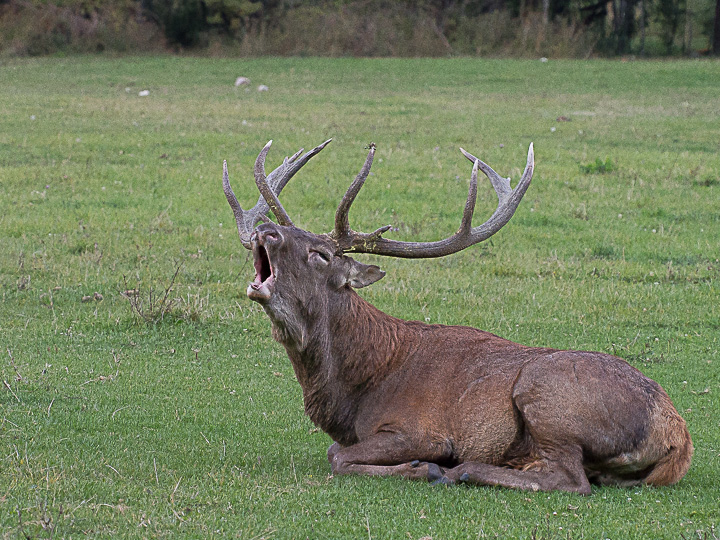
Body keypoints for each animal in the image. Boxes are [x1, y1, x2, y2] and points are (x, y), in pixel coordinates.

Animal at [221, 138, 692, 494]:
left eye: (319, 254)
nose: (266, 230)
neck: (356, 390)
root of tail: (676, 436)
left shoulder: (419, 429)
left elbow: (336, 455)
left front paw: (424, 468)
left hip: (546, 393)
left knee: (571, 479)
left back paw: (462, 471)